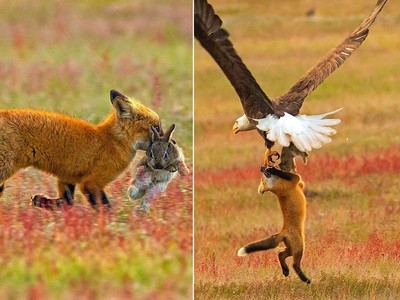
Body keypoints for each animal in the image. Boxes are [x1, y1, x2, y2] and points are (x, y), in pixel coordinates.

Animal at [0, 90, 159, 210]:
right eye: (157, 127)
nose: (167, 140)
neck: (112, 141)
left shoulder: (68, 177)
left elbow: (66, 203)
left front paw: (41, 201)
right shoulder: (90, 183)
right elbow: (105, 208)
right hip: (4, 169)